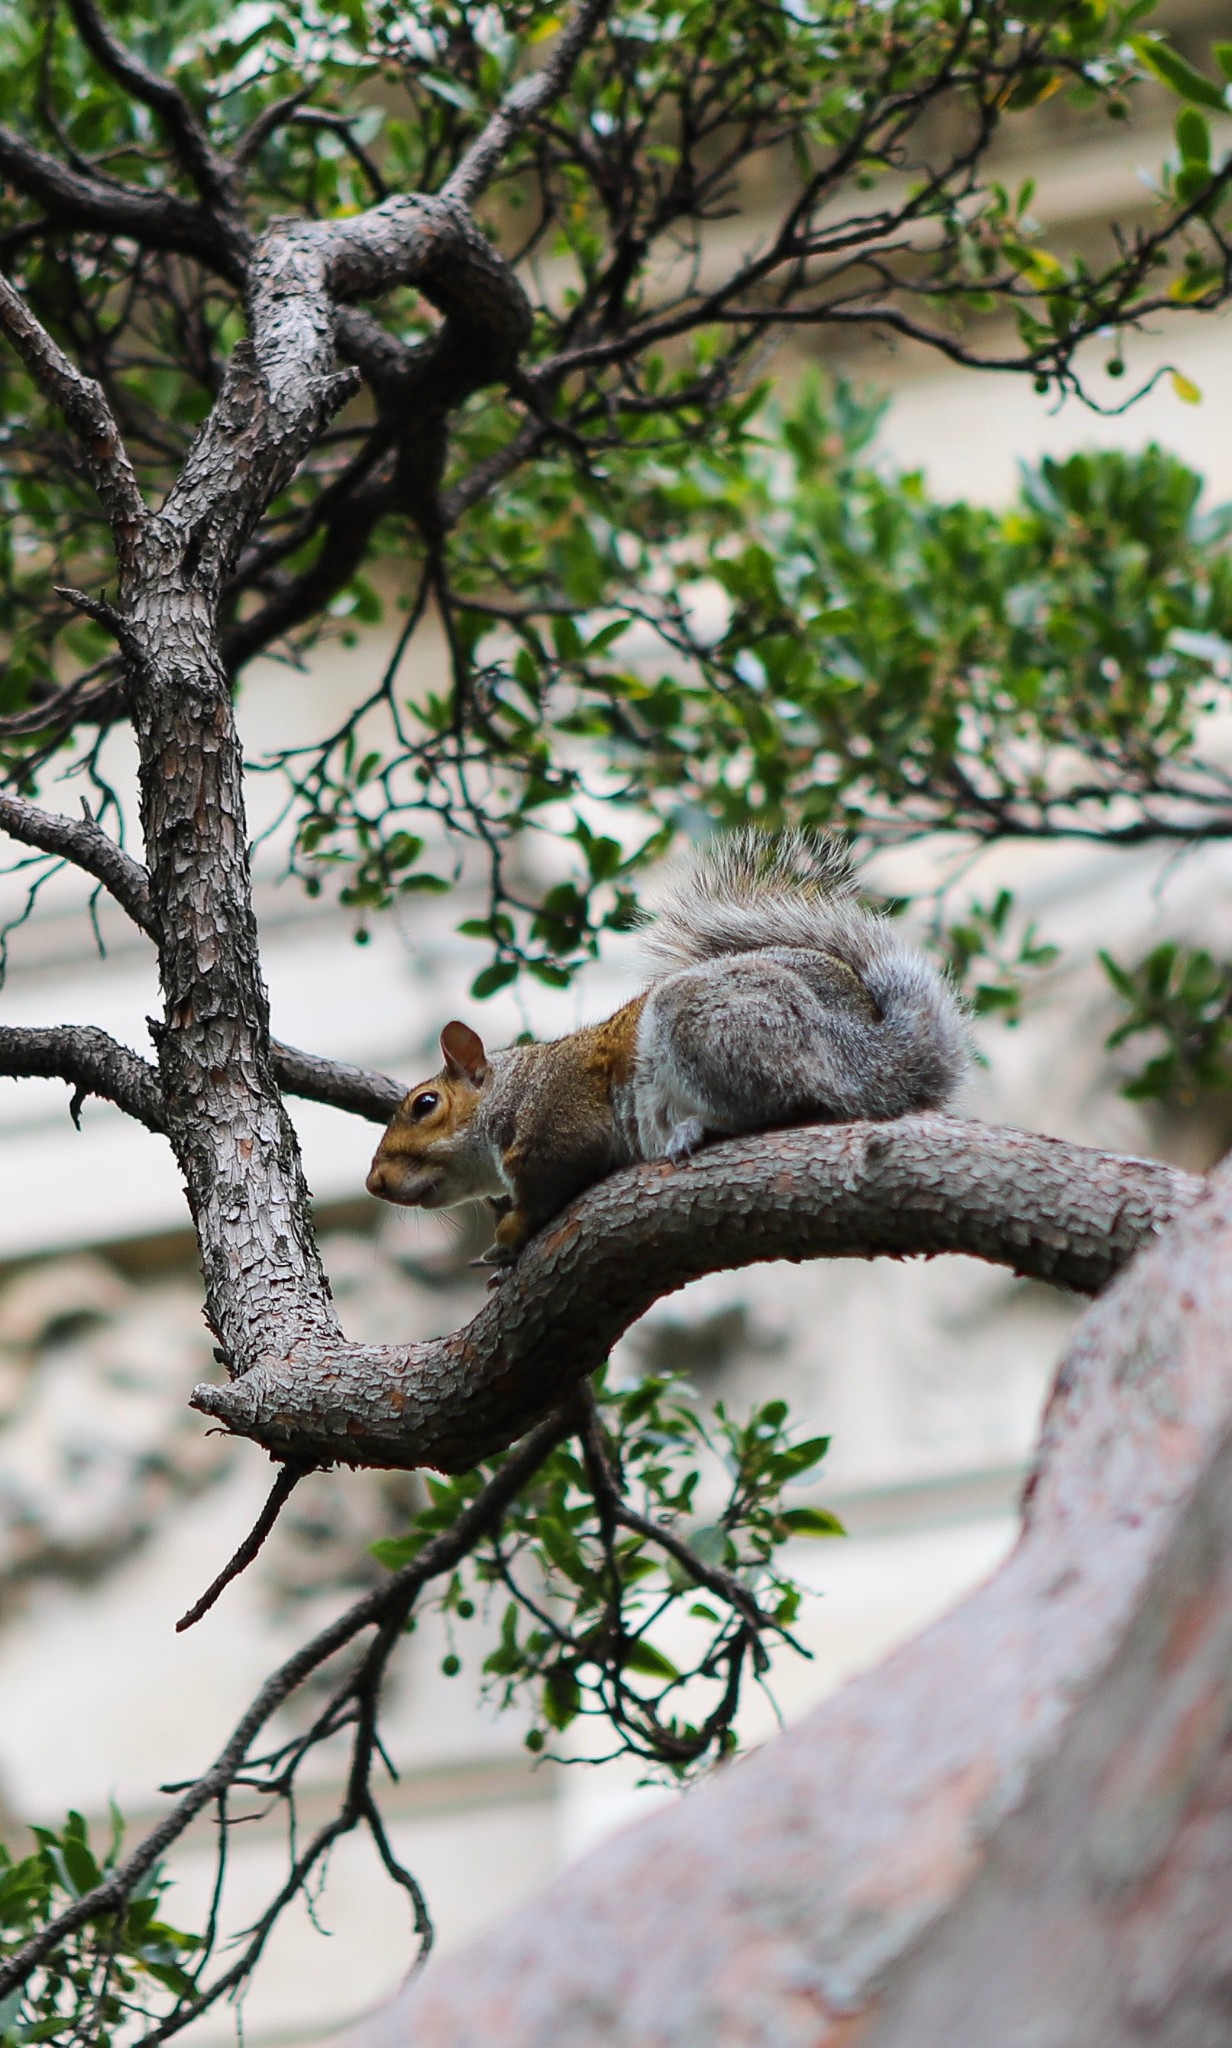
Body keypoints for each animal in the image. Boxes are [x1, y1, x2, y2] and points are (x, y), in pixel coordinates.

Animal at [364, 831, 970, 1261]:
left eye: (424, 1105)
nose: (374, 1183)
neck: (514, 1090)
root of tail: (871, 1054)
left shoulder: (560, 1121)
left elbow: (548, 1184)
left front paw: (508, 1237)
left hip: (716, 1028)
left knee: (794, 1101)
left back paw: (700, 1129)